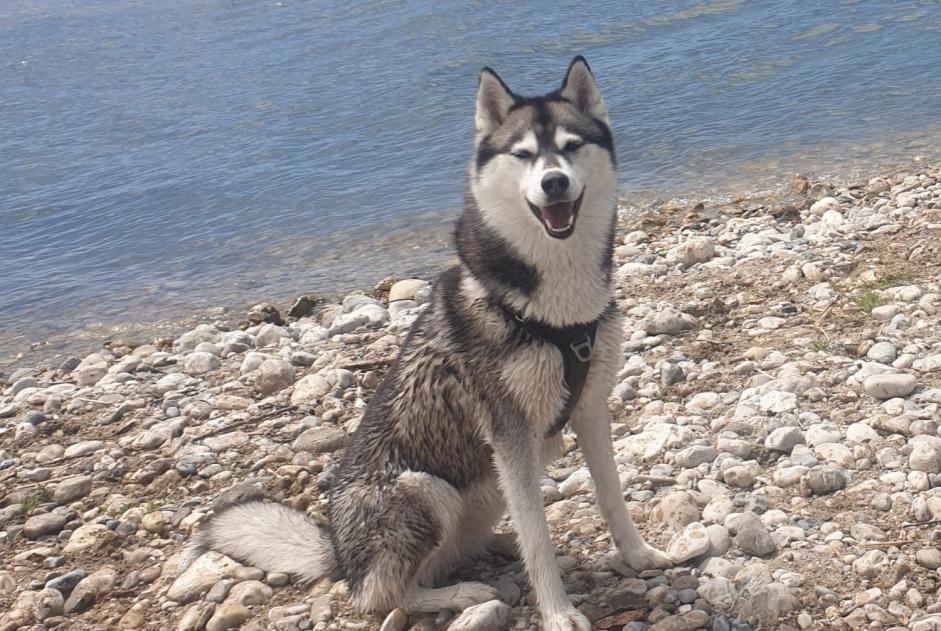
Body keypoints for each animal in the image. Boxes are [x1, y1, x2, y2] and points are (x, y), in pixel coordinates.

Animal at [196, 56, 668, 628]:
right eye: (523, 155)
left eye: (572, 146)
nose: (554, 183)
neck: (557, 312)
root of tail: (338, 553)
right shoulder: (509, 434)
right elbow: (539, 538)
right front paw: (557, 611)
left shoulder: (591, 405)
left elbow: (611, 496)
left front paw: (637, 554)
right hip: (421, 488)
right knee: (382, 593)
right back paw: (459, 593)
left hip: (480, 489)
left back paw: (491, 549)